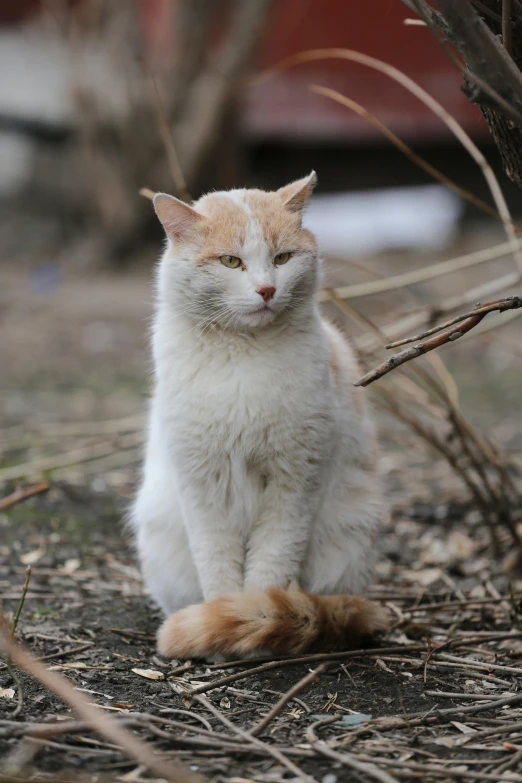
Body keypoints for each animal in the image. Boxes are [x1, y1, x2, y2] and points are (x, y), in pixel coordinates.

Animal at [129, 175, 386, 660]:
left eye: (282, 258)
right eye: (231, 261)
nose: (267, 290)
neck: (244, 355)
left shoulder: (295, 482)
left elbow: (270, 566)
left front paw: (255, 623)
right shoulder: (201, 484)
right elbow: (217, 567)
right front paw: (220, 632)